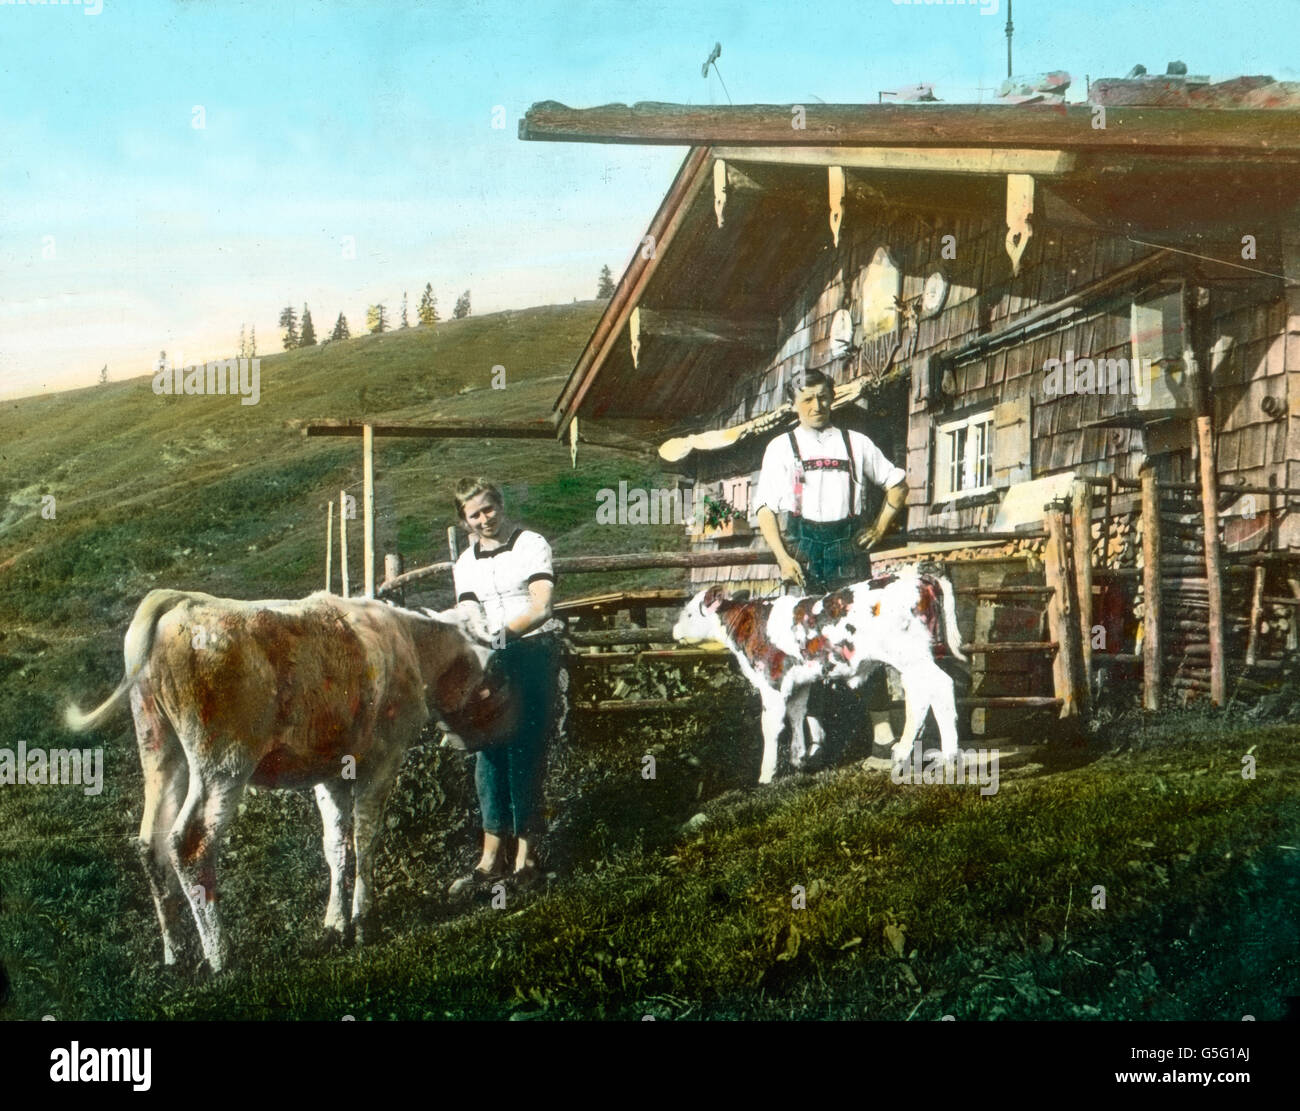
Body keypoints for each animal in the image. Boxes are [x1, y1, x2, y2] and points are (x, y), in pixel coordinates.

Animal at [64, 589, 512, 971]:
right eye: (493, 667)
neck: (409, 644)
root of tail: (179, 600)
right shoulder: (383, 760)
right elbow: (367, 839)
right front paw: (363, 922)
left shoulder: (332, 773)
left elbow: (337, 846)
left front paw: (335, 924)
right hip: (222, 764)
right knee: (189, 844)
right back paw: (220, 956)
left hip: (161, 752)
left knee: (150, 844)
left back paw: (175, 954)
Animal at [670, 574, 967, 779]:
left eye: (688, 613)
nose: (673, 631)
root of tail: (921, 578)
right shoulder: (800, 682)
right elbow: (797, 715)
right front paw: (799, 758)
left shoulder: (771, 680)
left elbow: (770, 727)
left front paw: (766, 775)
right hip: (913, 659)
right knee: (920, 696)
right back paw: (905, 752)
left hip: (911, 655)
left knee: (940, 686)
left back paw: (948, 756)